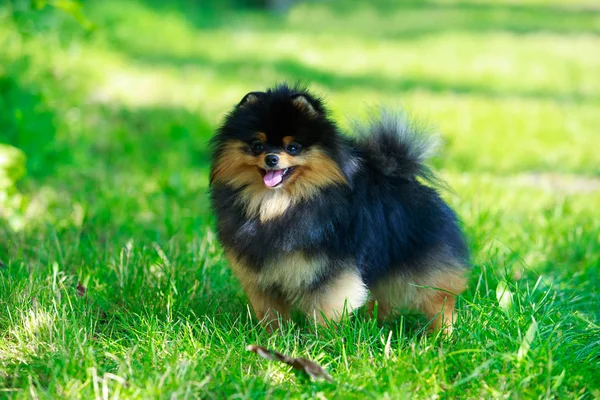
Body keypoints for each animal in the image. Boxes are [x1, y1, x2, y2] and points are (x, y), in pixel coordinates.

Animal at [211, 83, 468, 332]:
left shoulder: (330, 271)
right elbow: (271, 313)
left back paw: (442, 334)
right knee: (384, 299)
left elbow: (325, 309)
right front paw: (273, 335)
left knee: (439, 301)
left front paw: (324, 338)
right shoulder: (261, 275)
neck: (276, 205)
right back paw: (374, 324)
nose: (271, 158)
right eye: (257, 145)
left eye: (293, 147)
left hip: (423, 267)